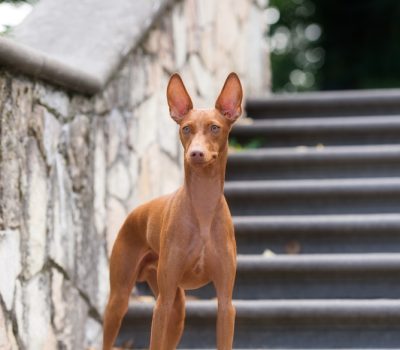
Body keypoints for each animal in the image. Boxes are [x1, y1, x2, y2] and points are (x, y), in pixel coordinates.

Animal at [101, 72, 242, 348]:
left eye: (215, 128)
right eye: (186, 128)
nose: (196, 153)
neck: (203, 208)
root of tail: (135, 212)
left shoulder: (225, 304)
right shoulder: (162, 305)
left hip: (178, 308)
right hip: (121, 299)